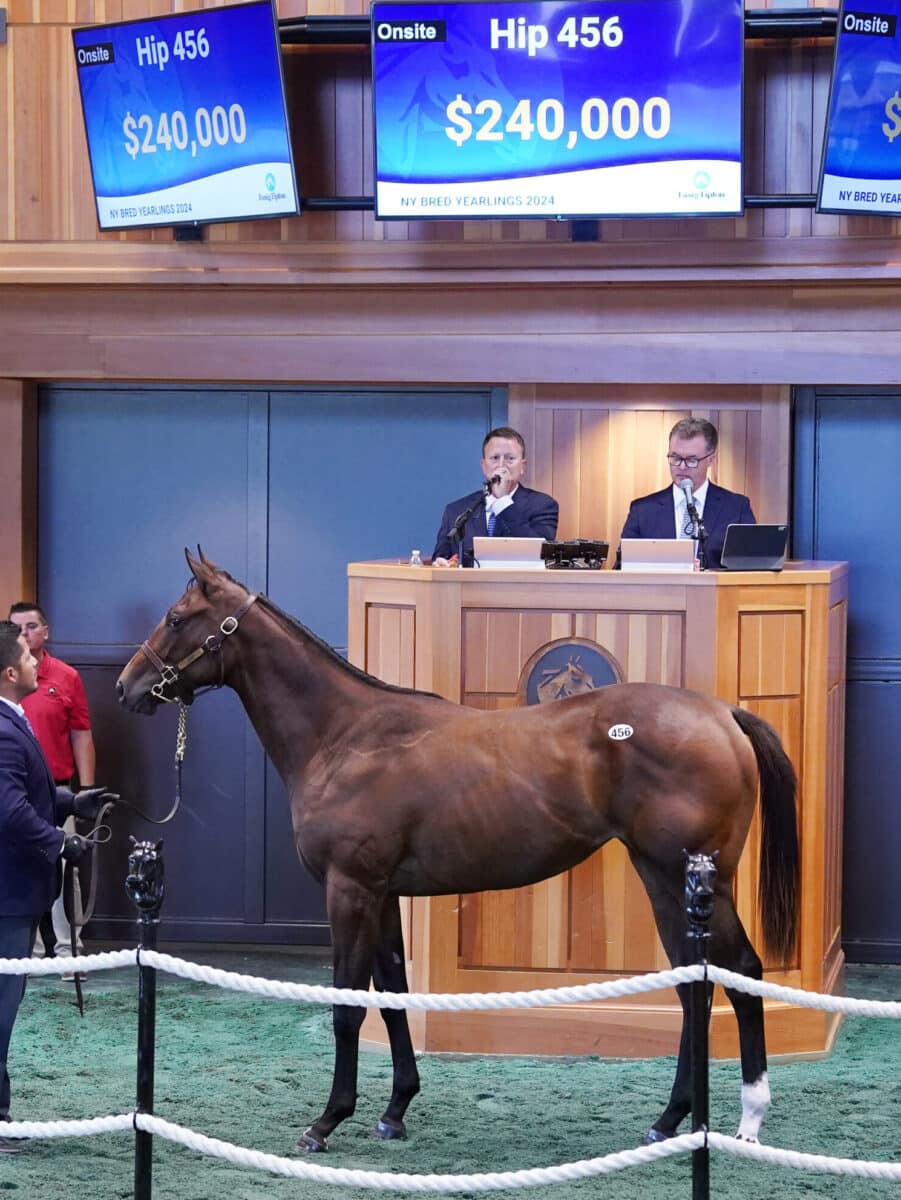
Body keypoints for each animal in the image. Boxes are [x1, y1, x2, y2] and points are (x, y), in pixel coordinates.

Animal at [116, 549, 801, 1152]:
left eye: (176, 618)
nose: (128, 687)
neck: (346, 737)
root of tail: (722, 715)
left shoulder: (350, 889)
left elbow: (347, 1005)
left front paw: (326, 1122)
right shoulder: (383, 894)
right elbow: (392, 990)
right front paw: (394, 1111)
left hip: (686, 881)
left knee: (734, 976)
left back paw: (745, 1118)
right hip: (672, 883)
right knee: (698, 985)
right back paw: (673, 1119)